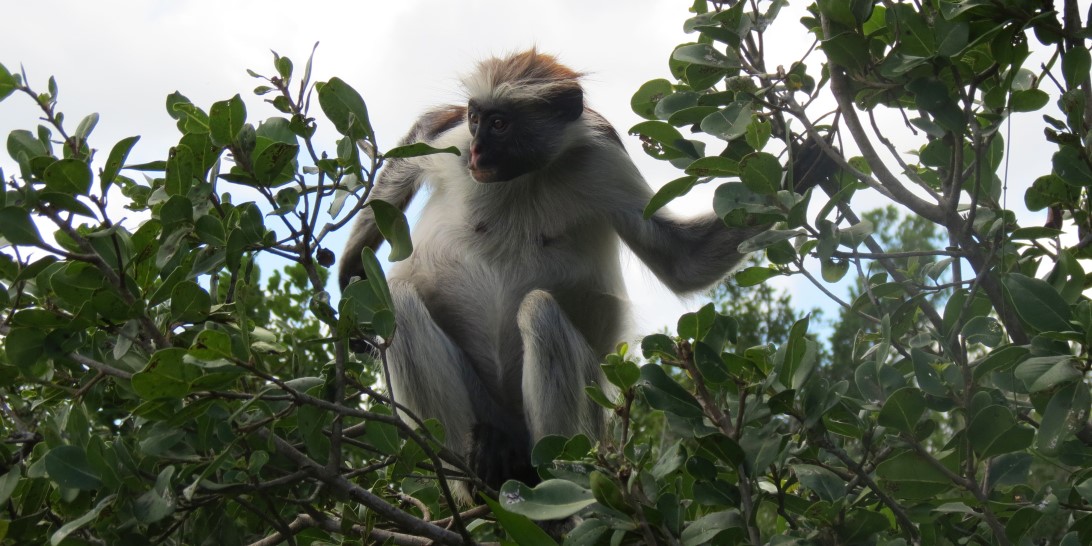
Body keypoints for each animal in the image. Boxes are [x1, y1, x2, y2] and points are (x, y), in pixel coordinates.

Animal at [340, 49, 825, 500]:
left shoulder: (603, 158)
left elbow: (682, 262)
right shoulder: (452, 141)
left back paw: (546, 479)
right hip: (484, 407)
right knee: (402, 302)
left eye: (500, 124)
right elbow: (413, 148)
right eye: (477, 119)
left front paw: (805, 167)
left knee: (538, 311)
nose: (479, 151)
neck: (523, 177)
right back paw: (477, 471)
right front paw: (350, 279)